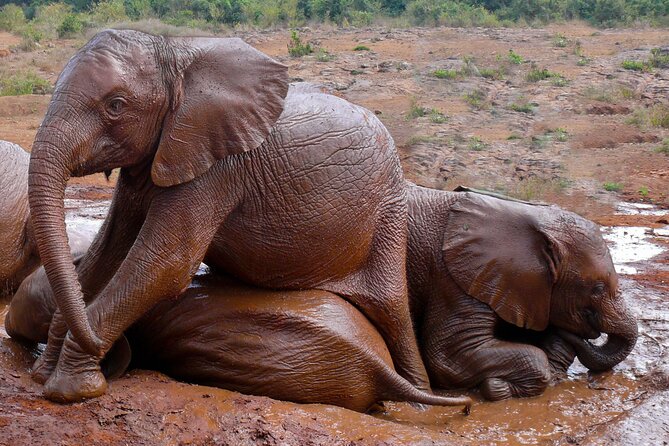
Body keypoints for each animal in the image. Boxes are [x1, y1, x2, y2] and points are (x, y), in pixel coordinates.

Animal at [28, 29, 430, 402]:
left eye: (116, 104)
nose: (110, 351)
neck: (176, 54)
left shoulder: (217, 168)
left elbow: (164, 264)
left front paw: (72, 390)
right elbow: (105, 255)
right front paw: (43, 373)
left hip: (388, 211)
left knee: (392, 309)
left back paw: (420, 401)